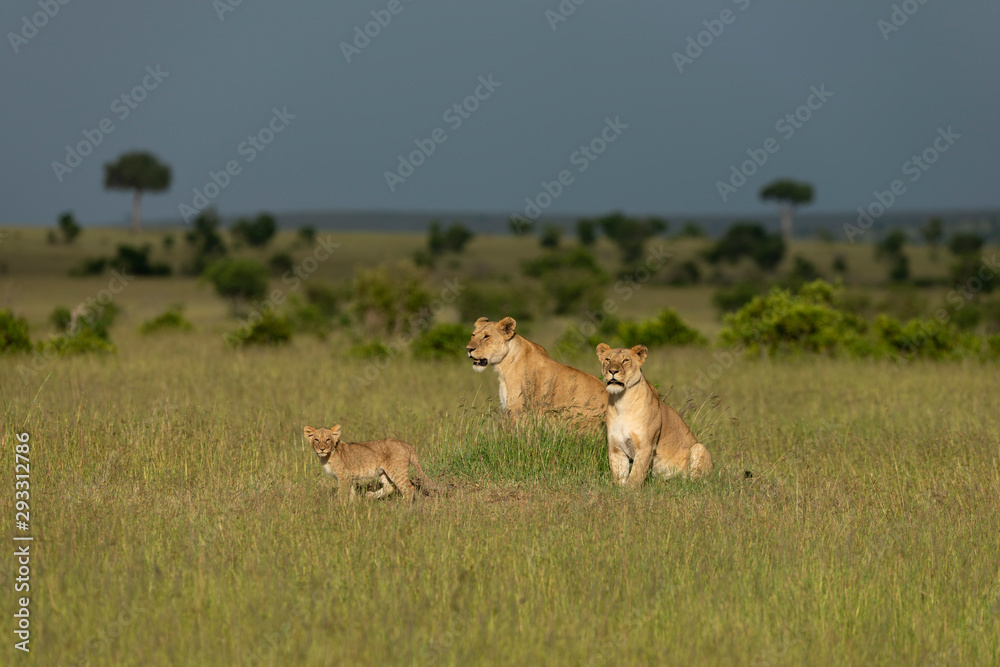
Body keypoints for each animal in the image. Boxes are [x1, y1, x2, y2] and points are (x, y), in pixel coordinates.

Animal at [596, 343, 712, 486]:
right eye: (608, 359)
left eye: (625, 360)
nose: (612, 371)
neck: (621, 401)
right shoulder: (616, 448)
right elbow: (619, 476)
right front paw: (618, 489)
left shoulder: (645, 446)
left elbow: (635, 475)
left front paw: (630, 490)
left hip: (699, 448)